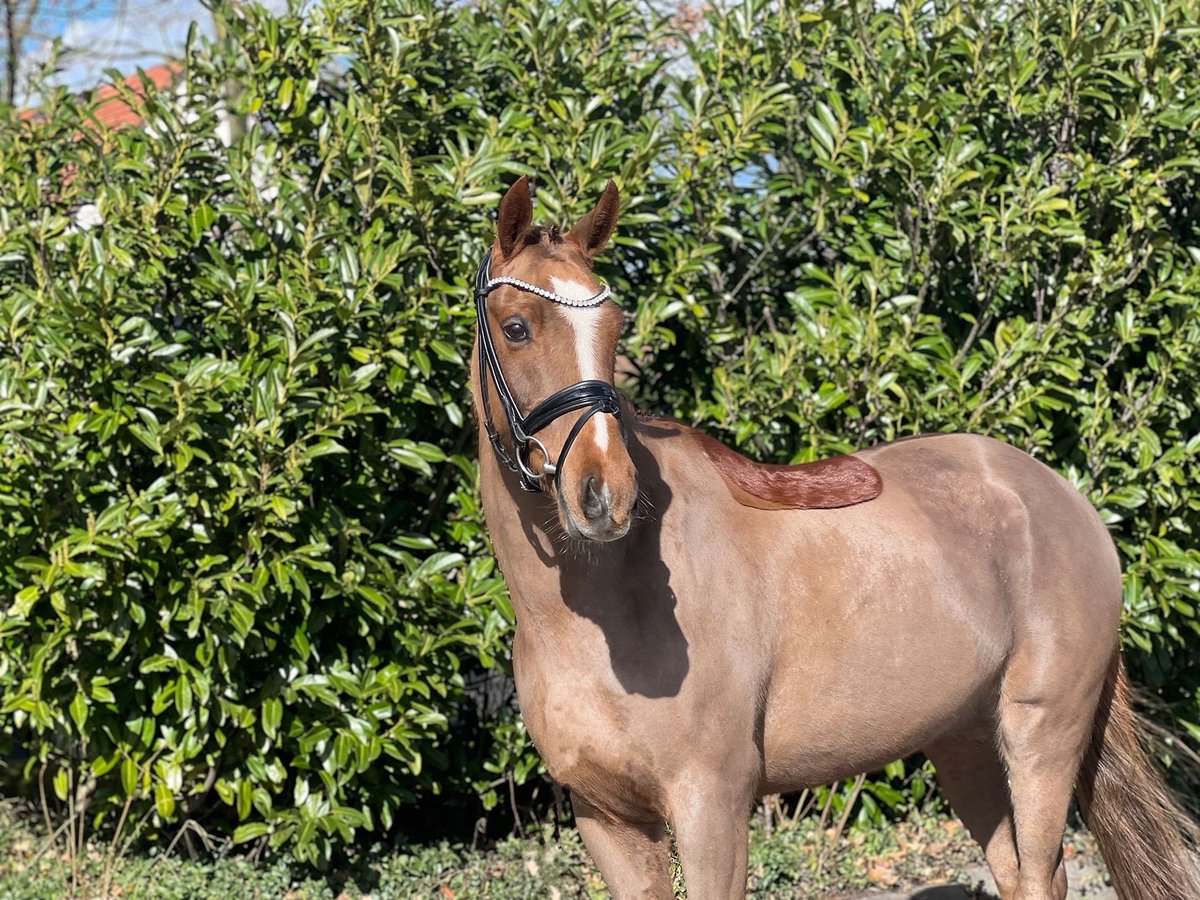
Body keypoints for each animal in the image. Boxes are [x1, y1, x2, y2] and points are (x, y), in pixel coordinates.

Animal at [470, 172, 1200, 897]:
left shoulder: (712, 804)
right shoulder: (606, 818)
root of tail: (1066, 500)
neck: (603, 611)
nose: (604, 493)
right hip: (965, 741)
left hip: (1041, 735)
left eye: (615, 325)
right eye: (516, 328)